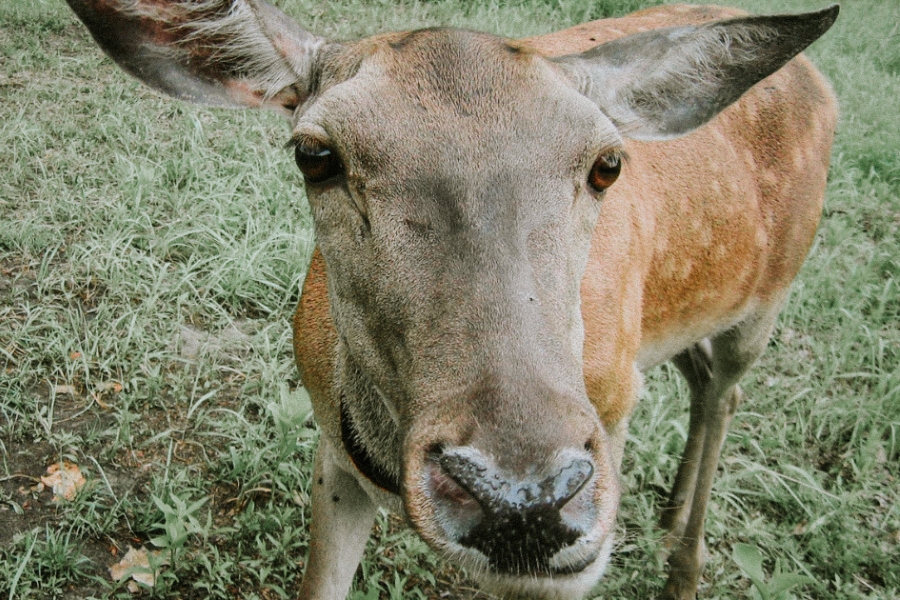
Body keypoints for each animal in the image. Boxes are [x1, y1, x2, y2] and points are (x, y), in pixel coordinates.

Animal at [65, 1, 844, 596]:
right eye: (315, 155)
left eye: (607, 164)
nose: (523, 501)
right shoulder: (332, 459)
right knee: (700, 374)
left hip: (770, 294)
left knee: (728, 388)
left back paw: (685, 566)